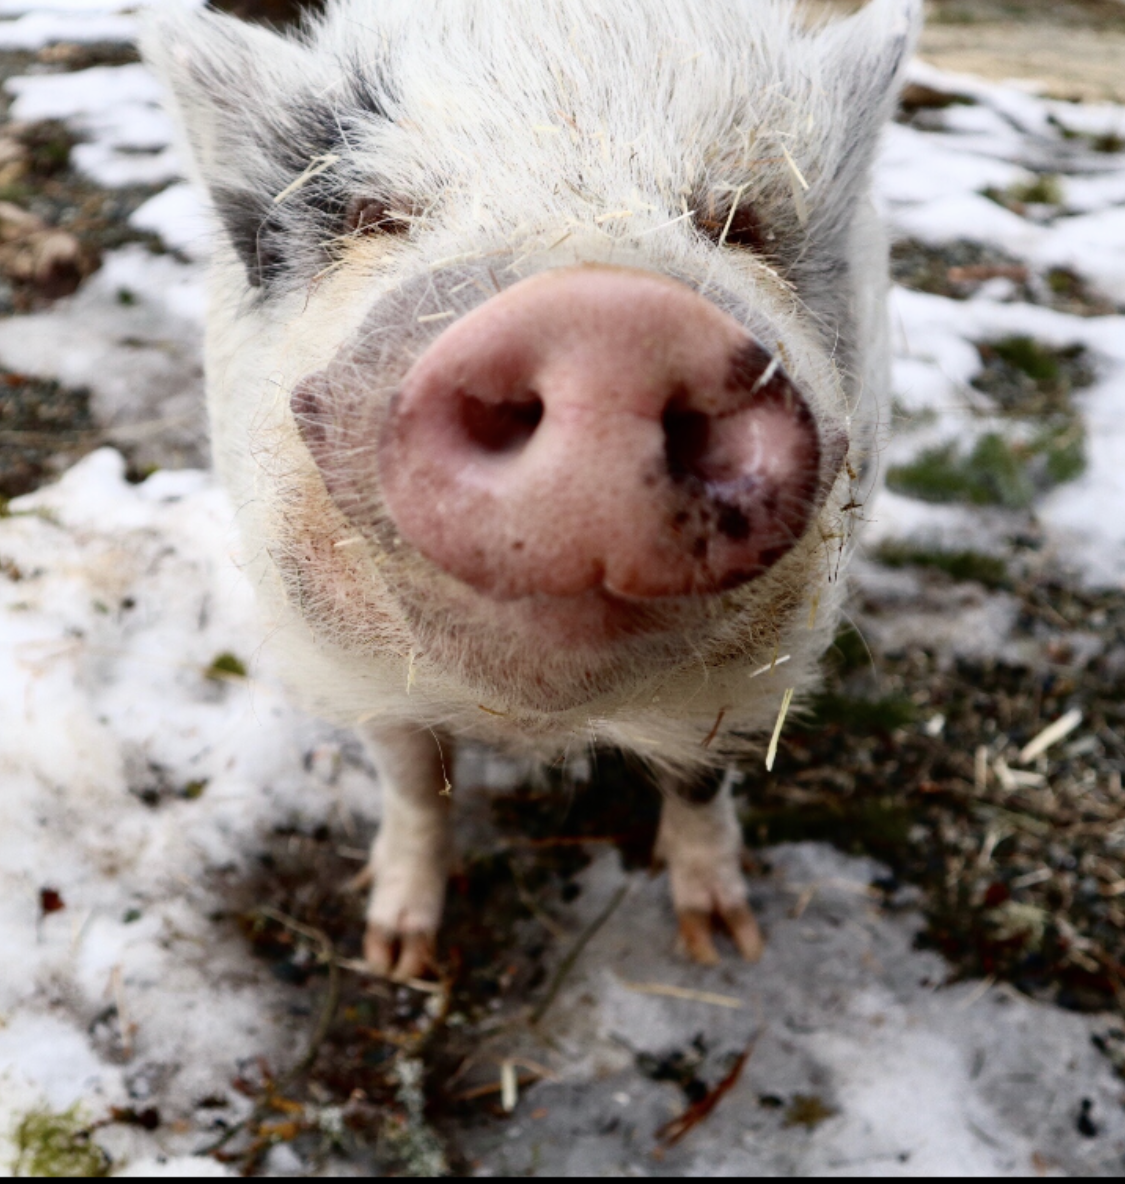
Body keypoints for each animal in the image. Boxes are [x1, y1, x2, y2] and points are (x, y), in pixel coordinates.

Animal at [147, 0, 923, 980]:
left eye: (740, 223)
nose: (605, 317)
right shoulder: (354, 674)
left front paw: (724, 946)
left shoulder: (757, 678)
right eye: (374, 214)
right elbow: (412, 785)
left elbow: (698, 783)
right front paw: (395, 955)